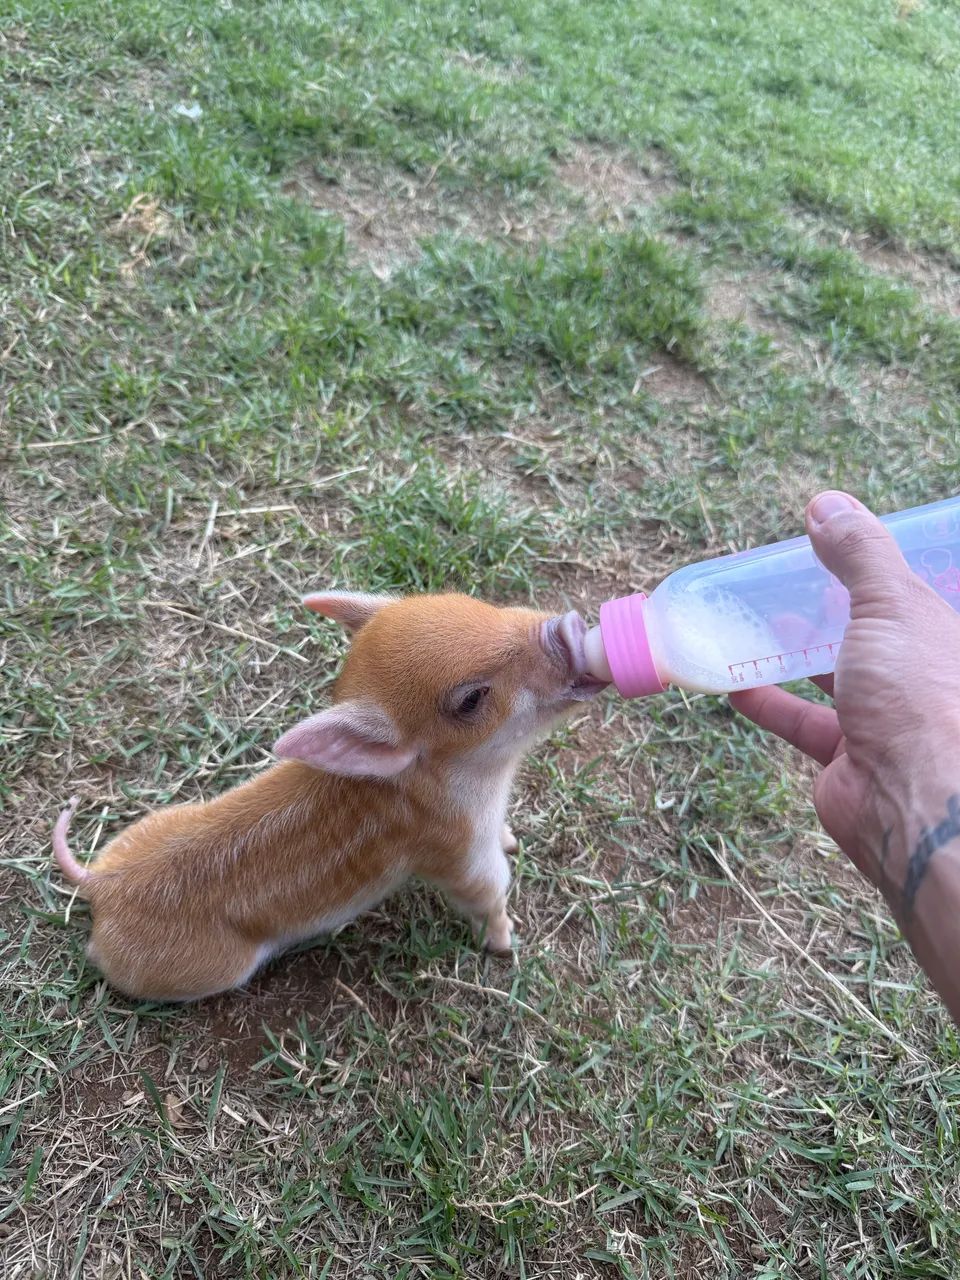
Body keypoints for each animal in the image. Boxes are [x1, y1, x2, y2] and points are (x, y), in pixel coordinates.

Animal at [52, 591, 606, 1002]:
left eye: (480, 602)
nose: (568, 627)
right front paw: (506, 947)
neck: (487, 780)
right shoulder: (458, 856)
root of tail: (101, 886)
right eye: (471, 699)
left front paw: (514, 841)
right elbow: (491, 895)